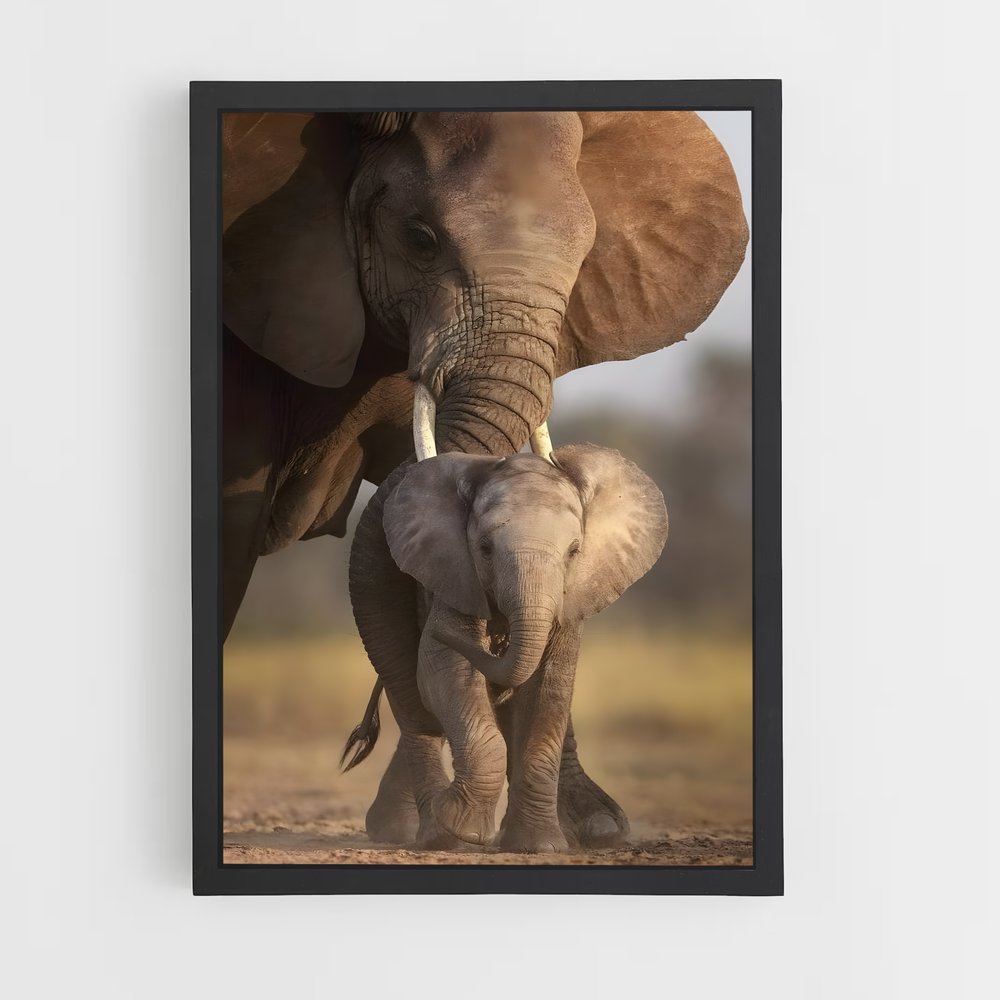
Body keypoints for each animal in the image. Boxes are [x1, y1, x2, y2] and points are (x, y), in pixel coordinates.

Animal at [344, 445, 668, 852]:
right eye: (484, 549)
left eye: (574, 551)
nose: (496, 642)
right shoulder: (455, 575)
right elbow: (442, 671)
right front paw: (462, 827)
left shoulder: (569, 601)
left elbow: (549, 688)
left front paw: (539, 847)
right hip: (378, 599)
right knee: (410, 699)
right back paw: (434, 833)